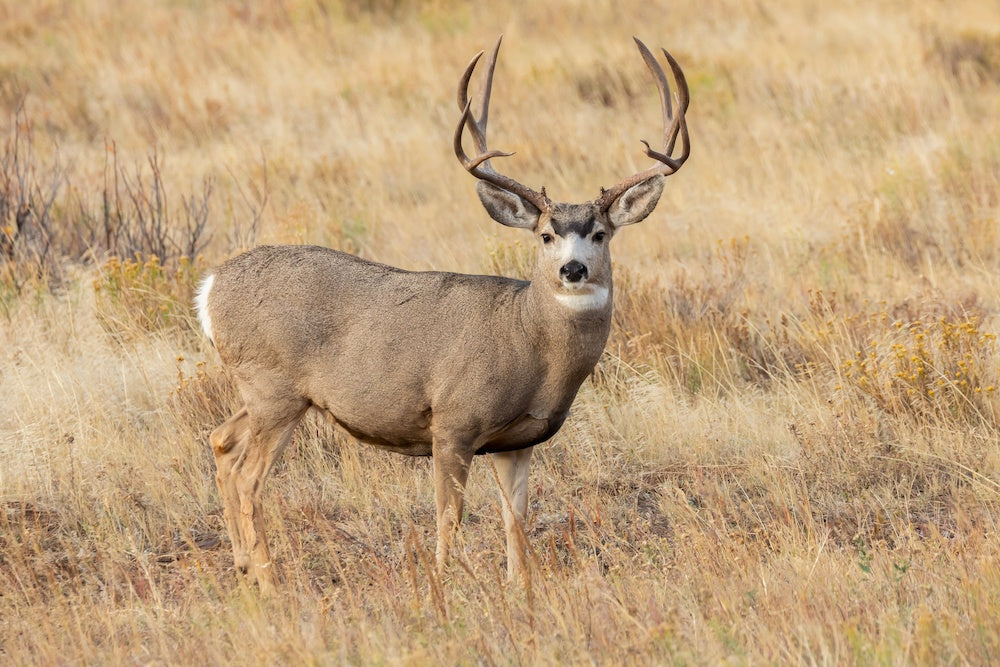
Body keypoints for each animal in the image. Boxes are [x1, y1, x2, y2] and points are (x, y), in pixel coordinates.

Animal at [196, 36, 690, 594]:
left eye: (601, 234)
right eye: (546, 235)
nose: (573, 268)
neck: (528, 342)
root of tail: (209, 289)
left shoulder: (516, 440)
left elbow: (515, 520)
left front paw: (521, 589)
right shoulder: (453, 421)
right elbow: (448, 516)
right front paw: (441, 583)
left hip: (268, 393)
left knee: (220, 441)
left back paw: (242, 564)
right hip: (273, 388)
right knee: (247, 475)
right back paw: (269, 580)